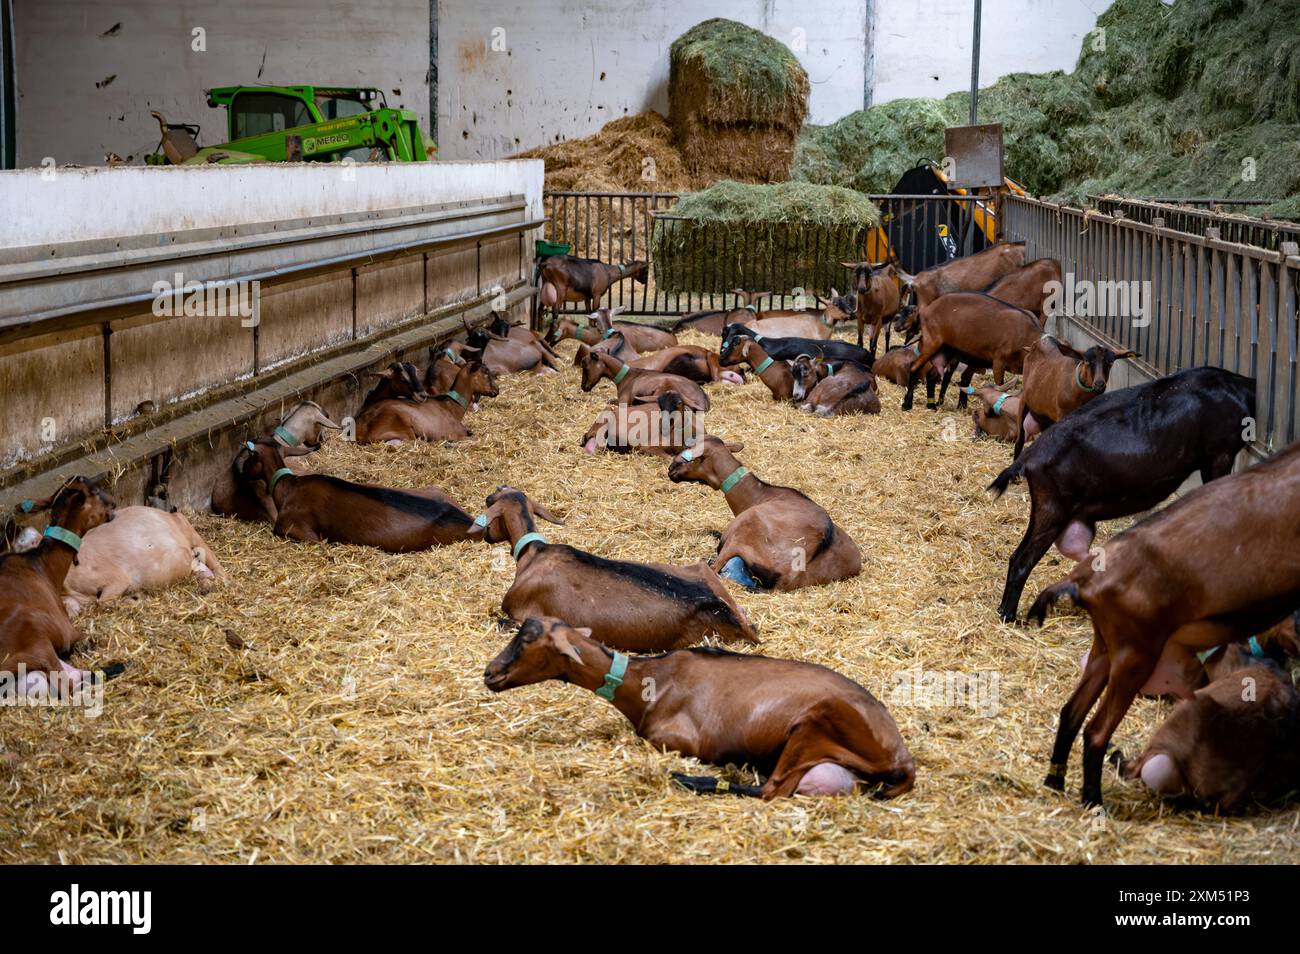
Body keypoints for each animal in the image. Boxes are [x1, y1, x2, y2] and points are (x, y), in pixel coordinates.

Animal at [0, 478, 115, 696]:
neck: (41, 565)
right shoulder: (68, 631)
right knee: (67, 685)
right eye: (95, 491)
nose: (114, 504)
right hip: (39, 646)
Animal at [483, 621, 920, 800]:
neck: (650, 682)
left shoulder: (676, 739)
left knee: (771, 791)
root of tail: (902, 756)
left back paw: (693, 779)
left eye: (527, 639)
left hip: (813, 726)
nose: (490, 673)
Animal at [1024, 441, 1300, 805]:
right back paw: (1094, 801)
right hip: (1135, 655)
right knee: (1096, 731)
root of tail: (1084, 578)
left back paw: (1055, 782)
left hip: (1107, 648)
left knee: (1071, 712)